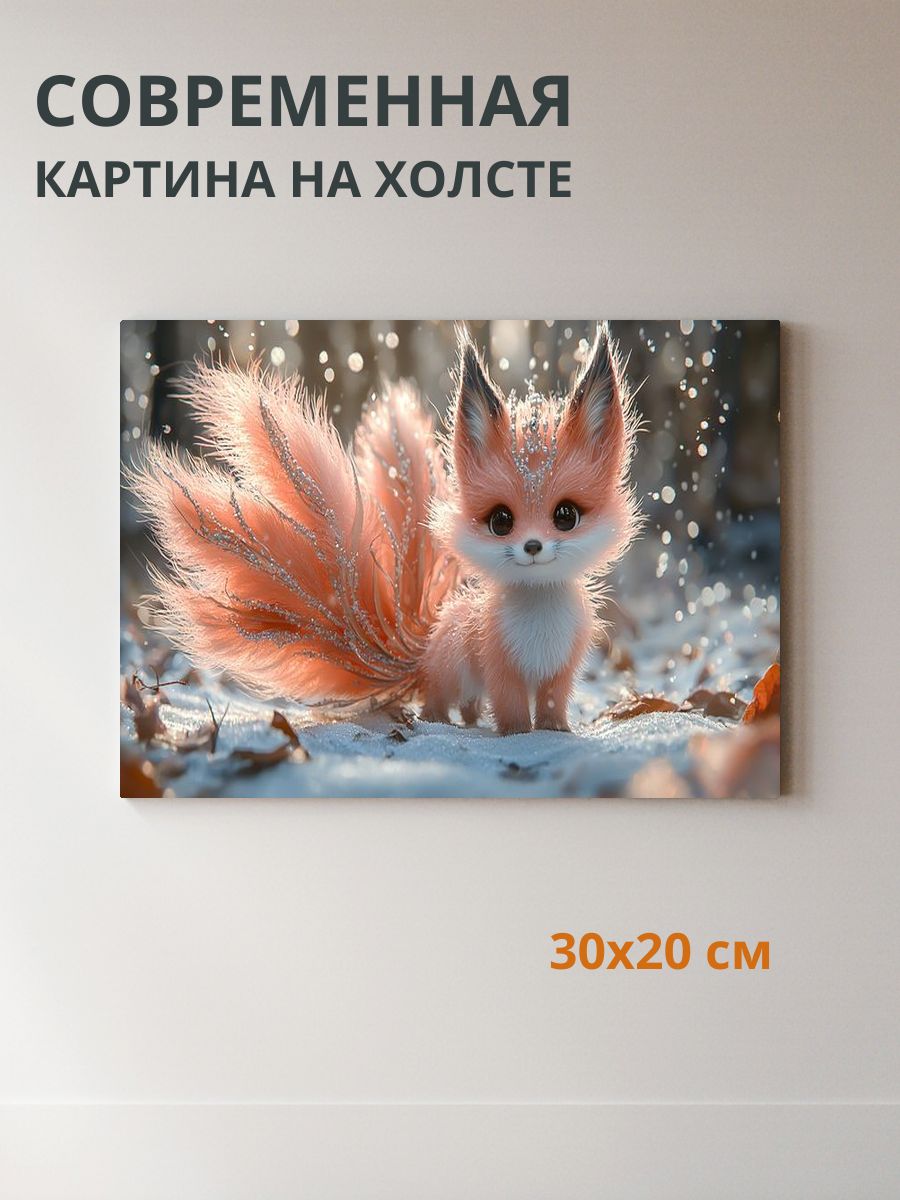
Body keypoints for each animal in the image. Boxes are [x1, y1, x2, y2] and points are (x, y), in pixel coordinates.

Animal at [129, 322, 640, 735]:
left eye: (565, 516)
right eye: (501, 521)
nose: (533, 546)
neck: (539, 621)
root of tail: (427, 644)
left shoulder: (561, 672)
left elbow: (552, 707)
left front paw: (555, 734)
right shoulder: (501, 670)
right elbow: (512, 709)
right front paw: (518, 737)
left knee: (470, 705)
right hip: (453, 675)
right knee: (442, 700)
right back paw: (440, 723)